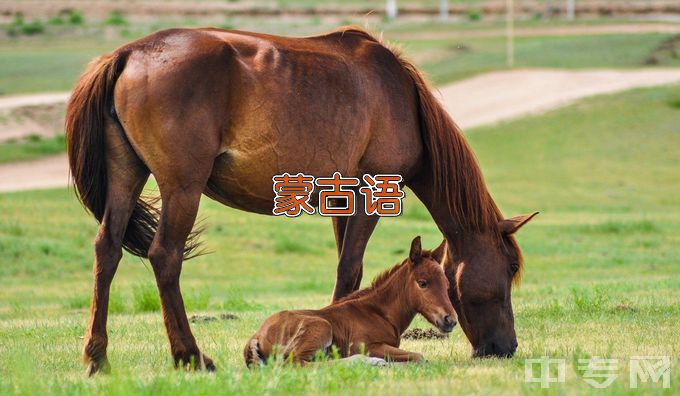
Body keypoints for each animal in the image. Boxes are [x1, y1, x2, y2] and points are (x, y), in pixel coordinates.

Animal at [243, 237, 456, 366]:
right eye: (422, 283)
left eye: (447, 284)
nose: (450, 320)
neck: (379, 313)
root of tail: (256, 335)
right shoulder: (367, 345)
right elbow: (419, 357)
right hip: (321, 327)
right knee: (298, 364)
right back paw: (369, 362)